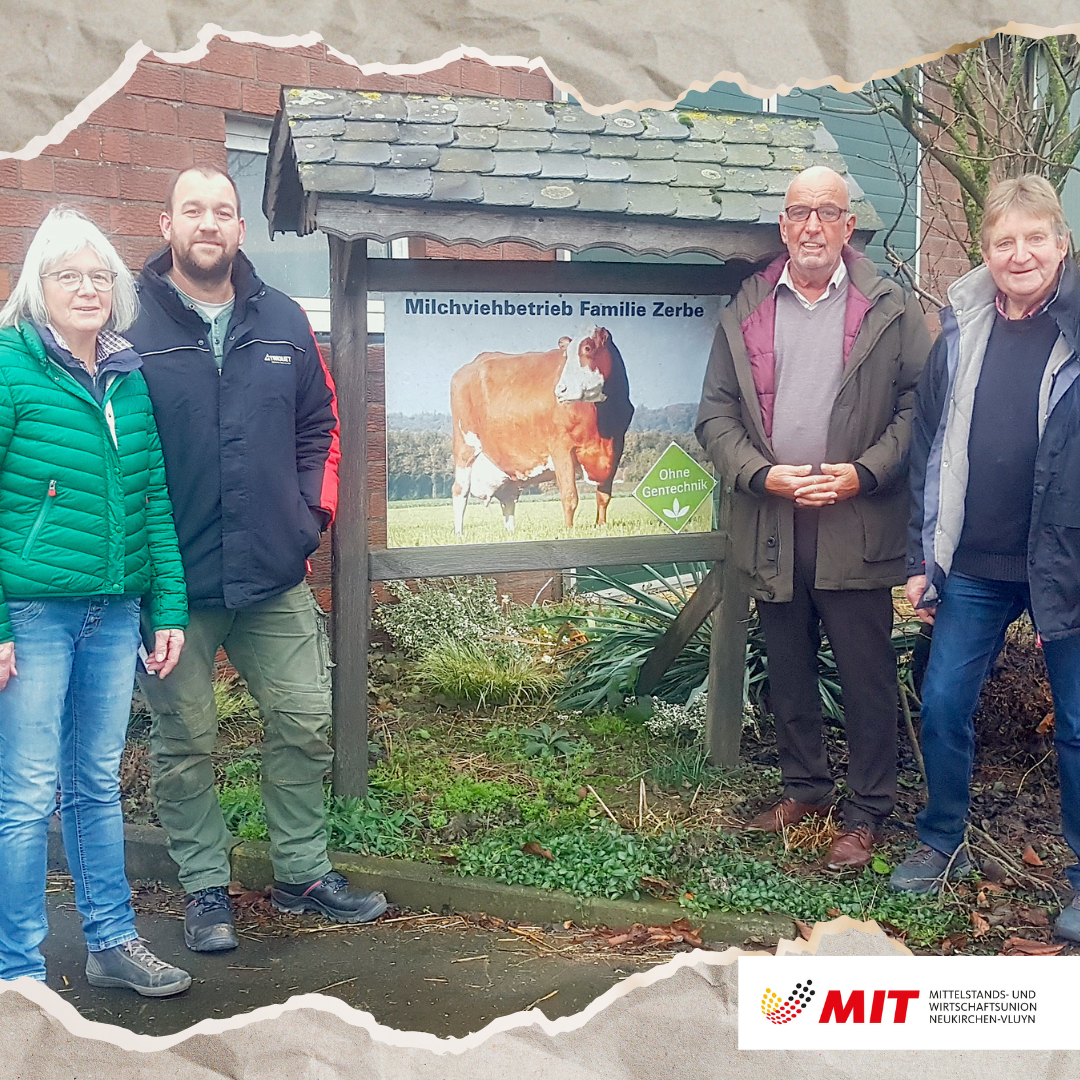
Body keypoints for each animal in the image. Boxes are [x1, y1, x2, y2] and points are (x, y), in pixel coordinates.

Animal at [449, 324, 630, 535]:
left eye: (587, 348)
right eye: (566, 354)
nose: (560, 390)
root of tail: (472, 364)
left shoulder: (616, 447)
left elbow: (604, 496)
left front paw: (601, 526)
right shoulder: (561, 448)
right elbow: (569, 496)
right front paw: (568, 530)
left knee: (508, 500)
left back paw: (511, 533)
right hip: (465, 447)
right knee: (460, 491)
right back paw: (459, 533)